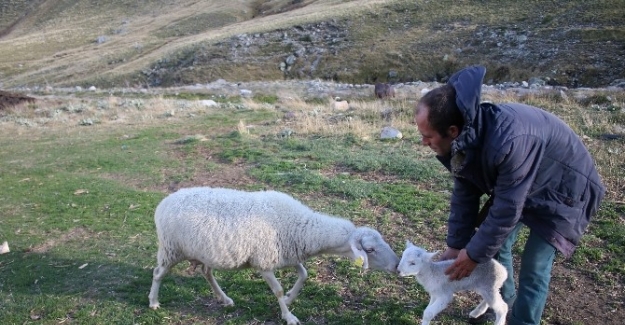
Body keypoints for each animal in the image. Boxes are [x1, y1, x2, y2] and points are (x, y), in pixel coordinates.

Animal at [149, 186, 398, 324]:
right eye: (370, 250)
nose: (397, 265)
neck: (301, 228)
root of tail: (164, 202)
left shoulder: (289, 255)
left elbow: (304, 275)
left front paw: (289, 298)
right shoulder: (265, 263)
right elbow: (277, 289)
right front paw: (288, 315)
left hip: (206, 251)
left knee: (206, 272)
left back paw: (224, 298)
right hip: (171, 248)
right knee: (158, 273)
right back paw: (153, 302)